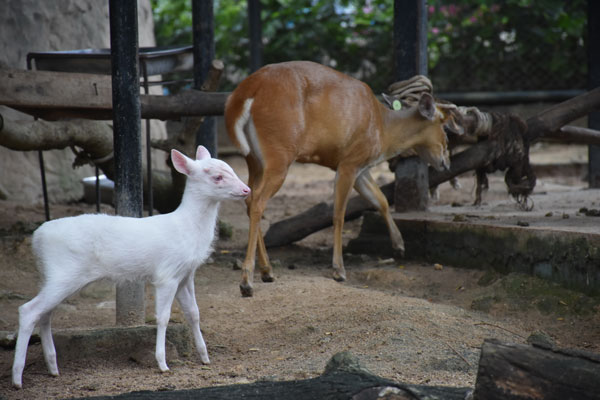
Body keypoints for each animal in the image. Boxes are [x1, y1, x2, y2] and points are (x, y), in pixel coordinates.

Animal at [226, 60, 460, 296]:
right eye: (445, 128)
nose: (446, 163)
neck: (382, 129)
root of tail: (245, 91)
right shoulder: (349, 161)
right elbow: (339, 213)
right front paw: (339, 270)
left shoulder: (361, 168)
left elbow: (380, 200)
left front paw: (399, 245)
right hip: (280, 153)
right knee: (258, 201)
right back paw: (247, 281)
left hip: (253, 159)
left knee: (249, 198)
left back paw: (268, 271)